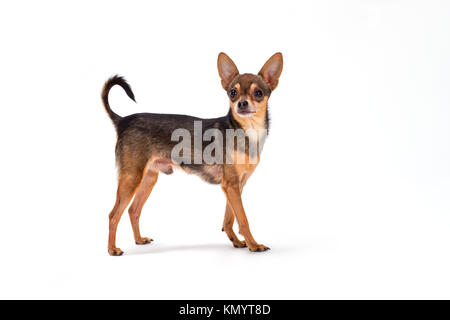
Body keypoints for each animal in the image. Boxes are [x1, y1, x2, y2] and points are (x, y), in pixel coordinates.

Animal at [102, 53, 284, 256]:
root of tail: (122, 121)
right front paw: (254, 245)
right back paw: (112, 249)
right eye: (233, 93)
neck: (247, 130)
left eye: (258, 93)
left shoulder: (235, 186)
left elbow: (229, 219)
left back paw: (139, 240)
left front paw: (236, 241)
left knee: (133, 210)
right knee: (113, 215)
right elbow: (243, 219)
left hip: (148, 177)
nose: (241, 103)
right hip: (131, 177)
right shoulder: (231, 186)